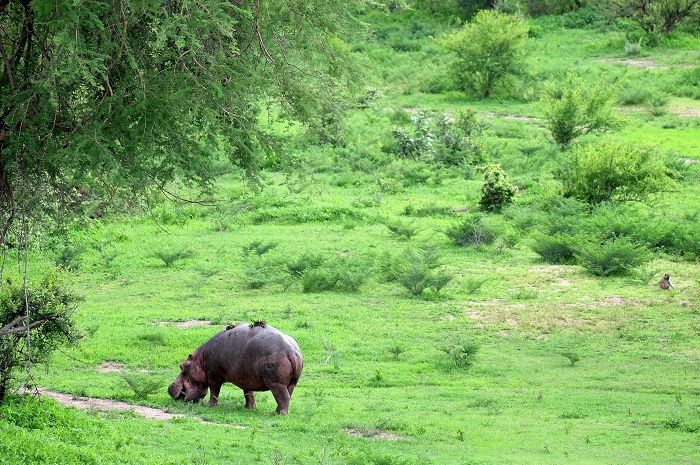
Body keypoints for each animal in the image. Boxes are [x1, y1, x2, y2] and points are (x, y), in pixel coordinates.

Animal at [170, 320, 304, 416]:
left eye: (182, 366)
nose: (170, 386)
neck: (201, 359)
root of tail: (291, 351)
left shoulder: (213, 376)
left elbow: (214, 392)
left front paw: (208, 405)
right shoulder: (246, 378)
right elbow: (248, 393)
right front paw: (249, 408)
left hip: (276, 383)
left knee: (283, 397)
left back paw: (279, 414)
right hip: (292, 383)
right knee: (288, 396)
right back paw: (277, 412)